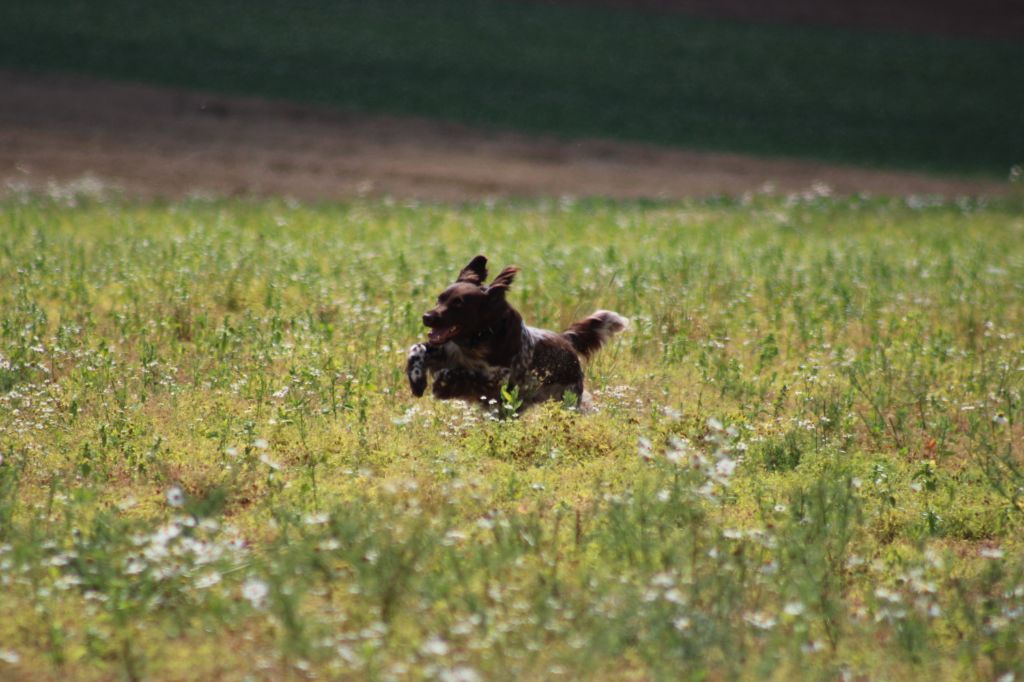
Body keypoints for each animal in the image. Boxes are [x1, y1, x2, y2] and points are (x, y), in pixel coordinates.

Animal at [403, 251, 626, 405]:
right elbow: (417, 348)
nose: (427, 317)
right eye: (439, 299)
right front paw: (417, 379)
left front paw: (443, 382)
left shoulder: (498, 377)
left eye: (458, 304)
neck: (477, 338)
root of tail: (566, 339)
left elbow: (466, 373)